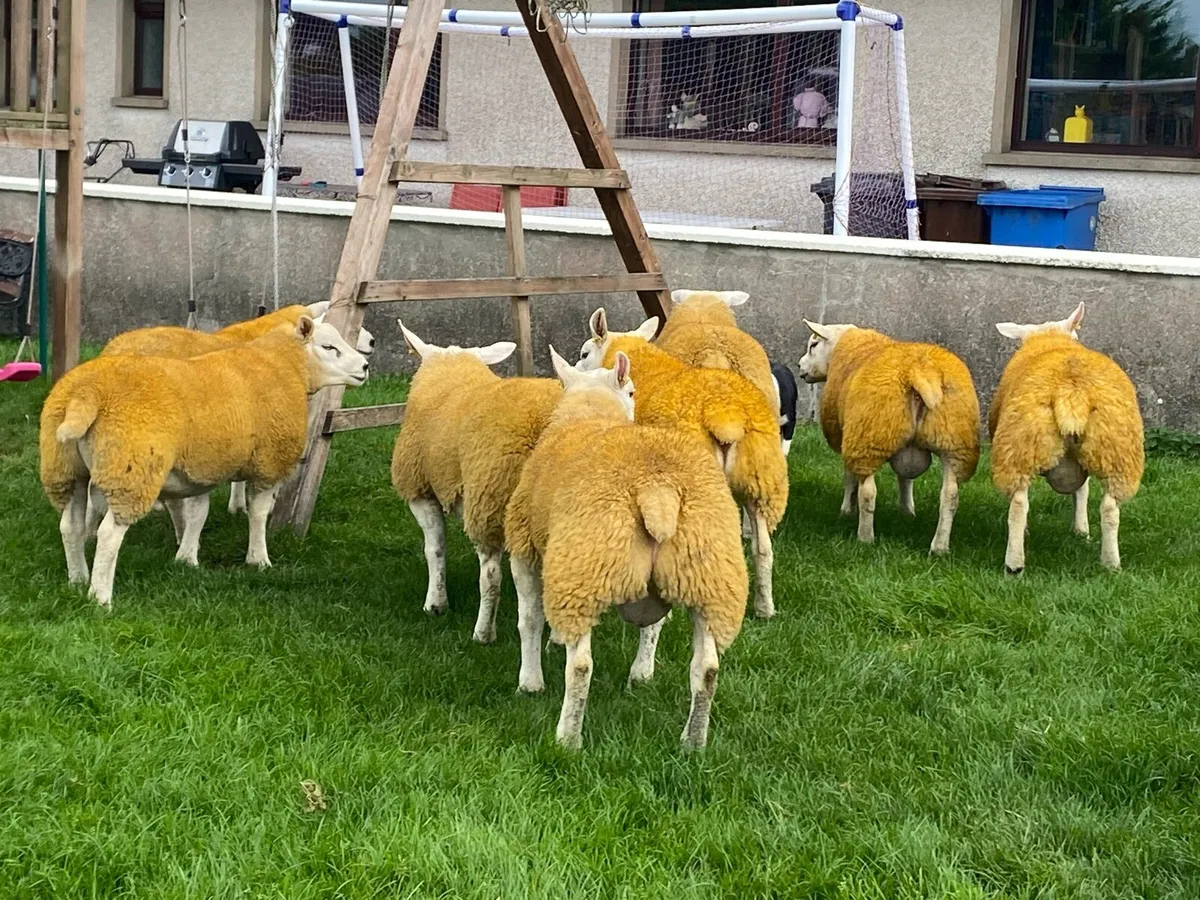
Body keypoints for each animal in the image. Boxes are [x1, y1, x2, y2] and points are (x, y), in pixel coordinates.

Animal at [39, 315, 368, 608]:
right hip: (131, 471)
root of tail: (88, 393)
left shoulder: (201, 467)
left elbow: (198, 512)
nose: (365, 367)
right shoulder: (268, 462)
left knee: (70, 525)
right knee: (109, 534)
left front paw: (187, 557)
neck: (284, 365)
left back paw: (78, 579)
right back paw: (100, 597)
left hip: (65, 469)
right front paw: (259, 559)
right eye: (329, 347)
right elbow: (258, 513)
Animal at [389, 321, 563, 644]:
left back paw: (483, 633)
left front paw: (436, 604)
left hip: (489, 499)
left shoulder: (420, 490)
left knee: (491, 575)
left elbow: (435, 548)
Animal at [504, 347, 748, 749]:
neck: (590, 414)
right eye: (633, 392)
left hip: (583, 567)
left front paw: (530, 681)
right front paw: (642, 672)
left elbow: (530, 619)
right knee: (707, 668)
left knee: (581, 666)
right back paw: (692, 741)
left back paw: (567, 739)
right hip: (708, 576)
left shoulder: (524, 546)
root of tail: (657, 489)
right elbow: (653, 628)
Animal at [798, 320, 980, 554]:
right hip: (954, 443)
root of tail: (920, 372)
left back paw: (865, 538)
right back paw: (939, 547)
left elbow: (849, 477)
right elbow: (905, 478)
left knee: (868, 493)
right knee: (950, 495)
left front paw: (846, 510)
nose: (799, 367)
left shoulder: (848, 433)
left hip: (868, 438)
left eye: (813, 345)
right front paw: (906, 511)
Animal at [989, 302, 1143, 573]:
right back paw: (1111, 564)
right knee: (1110, 508)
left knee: (1018, 504)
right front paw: (1082, 531)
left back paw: (1014, 564)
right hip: (1116, 448)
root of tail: (1072, 389)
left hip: (1022, 444)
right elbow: (1082, 490)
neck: (1051, 341)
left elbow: (1080, 490)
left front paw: (1080, 530)